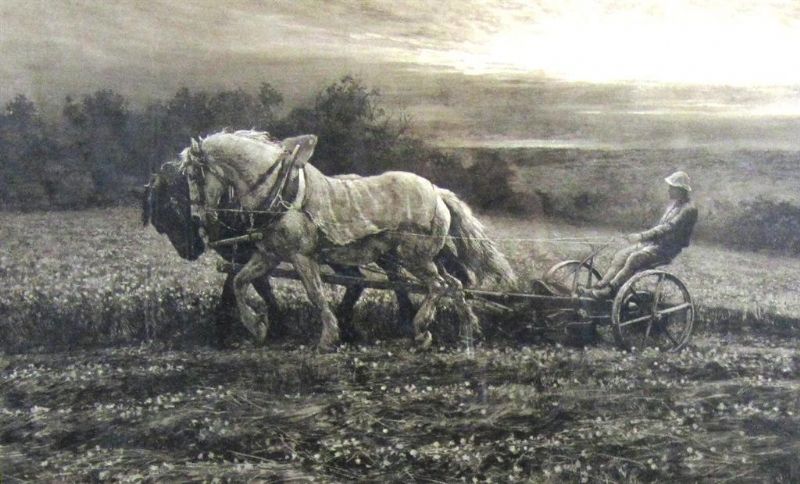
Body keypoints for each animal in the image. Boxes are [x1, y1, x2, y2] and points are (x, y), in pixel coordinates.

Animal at [141, 161, 419, 344]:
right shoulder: (256, 254)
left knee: (380, 278)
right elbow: (246, 283)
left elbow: (244, 287)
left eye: (173, 209)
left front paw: (254, 325)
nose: (189, 252)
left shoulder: (248, 253)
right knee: (370, 278)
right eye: (159, 222)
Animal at [179, 129, 515, 350]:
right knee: (454, 285)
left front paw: (328, 337)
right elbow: (239, 282)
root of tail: (436, 190)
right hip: (425, 257)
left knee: (437, 287)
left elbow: (315, 294)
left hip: (415, 258)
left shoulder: (302, 257)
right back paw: (468, 329)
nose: (197, 220)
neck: (280, 192)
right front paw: (257, 326)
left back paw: (422, 332)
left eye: (194, 175)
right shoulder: (269, 255)